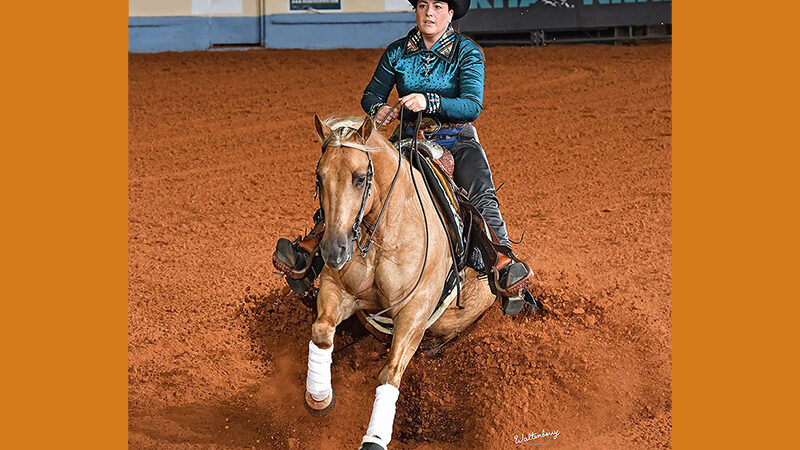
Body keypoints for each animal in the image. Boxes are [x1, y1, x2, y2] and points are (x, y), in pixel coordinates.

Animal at [304, 114, 494, 448]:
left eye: (360, 178)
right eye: (319, 175)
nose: (334, 250)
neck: (382, 236)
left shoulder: (414, 311)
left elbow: (390, 372)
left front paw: (374, 438)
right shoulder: (336, 289)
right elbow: (322, 331)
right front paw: (320, 396)